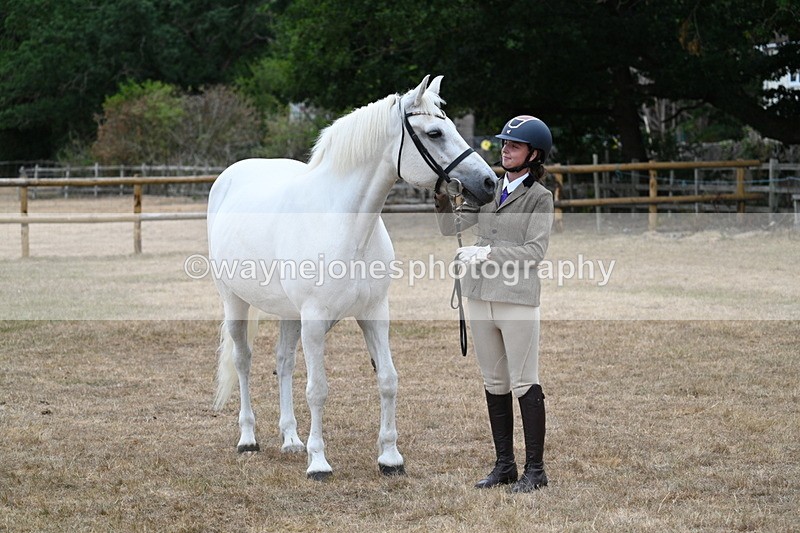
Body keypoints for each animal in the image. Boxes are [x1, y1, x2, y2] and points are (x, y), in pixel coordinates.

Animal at [207, 75, 497, 480]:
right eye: (435, 132)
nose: (488, 182)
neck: (347, 224)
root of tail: (230, 175)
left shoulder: (374, 313)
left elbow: (388, 380)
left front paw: (390, 457)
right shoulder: (314, 321)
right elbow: (318, 389)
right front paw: (318, 462)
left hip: (288, 314)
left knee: (283, 363)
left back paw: (291, 439)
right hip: (234, 301)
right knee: (243, 360)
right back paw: (248, 438)